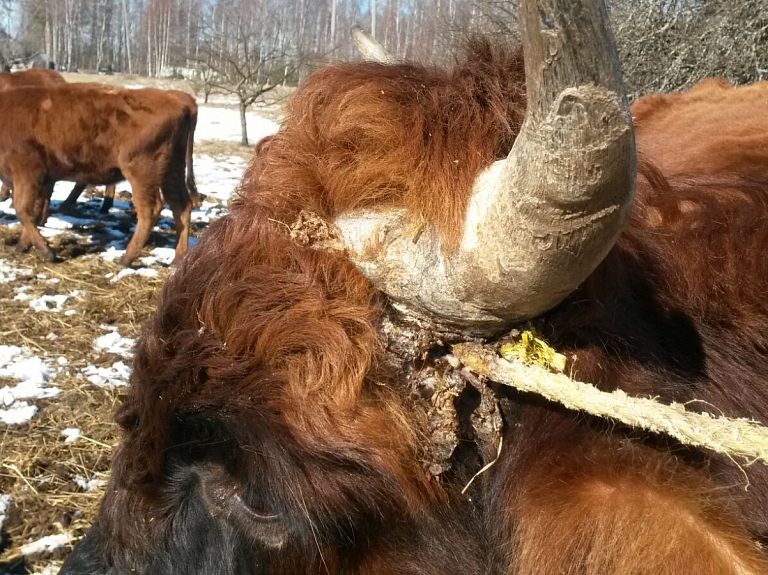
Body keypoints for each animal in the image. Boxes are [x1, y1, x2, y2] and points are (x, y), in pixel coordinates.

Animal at [0, 82, 195, 266]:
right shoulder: (38, 179)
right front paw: (23, 246)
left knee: (150, 210)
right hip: (172, 171)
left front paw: (46, 251)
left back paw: (126, 259)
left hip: (142, 172)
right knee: (181, 206)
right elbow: (32, 210)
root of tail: (179, 101)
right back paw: (178, 259)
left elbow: (22, 210)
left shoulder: (27, 173)